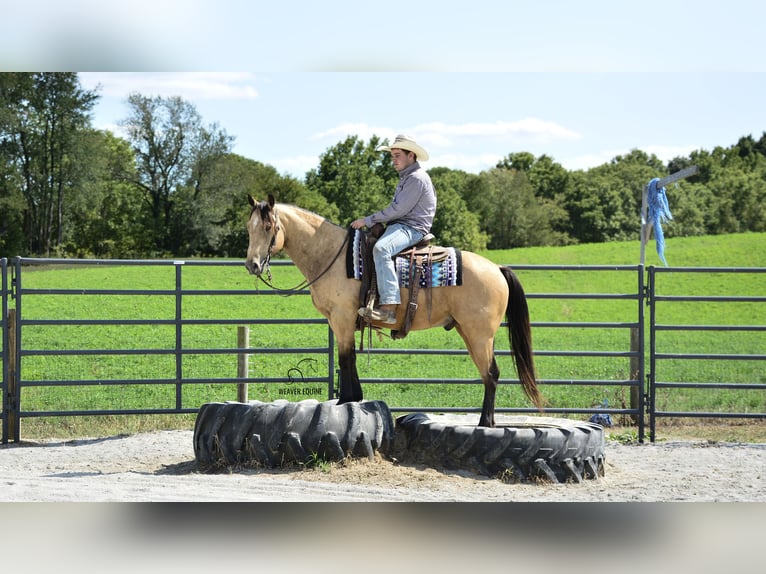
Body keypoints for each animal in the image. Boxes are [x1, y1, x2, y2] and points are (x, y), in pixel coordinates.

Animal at [245, 194, 544, 428]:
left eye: (269, 226)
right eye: (249, 227)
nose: (252, 265)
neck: (334, 257)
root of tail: (497, 269)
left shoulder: (342, 318)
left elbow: (346, 359)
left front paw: (346, 400)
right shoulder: (340, 321)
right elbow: (350, 358)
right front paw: (354, 398)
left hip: (480, 334)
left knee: (491, 374)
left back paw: (485, 423)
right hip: (468, 332)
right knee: (487, 374)